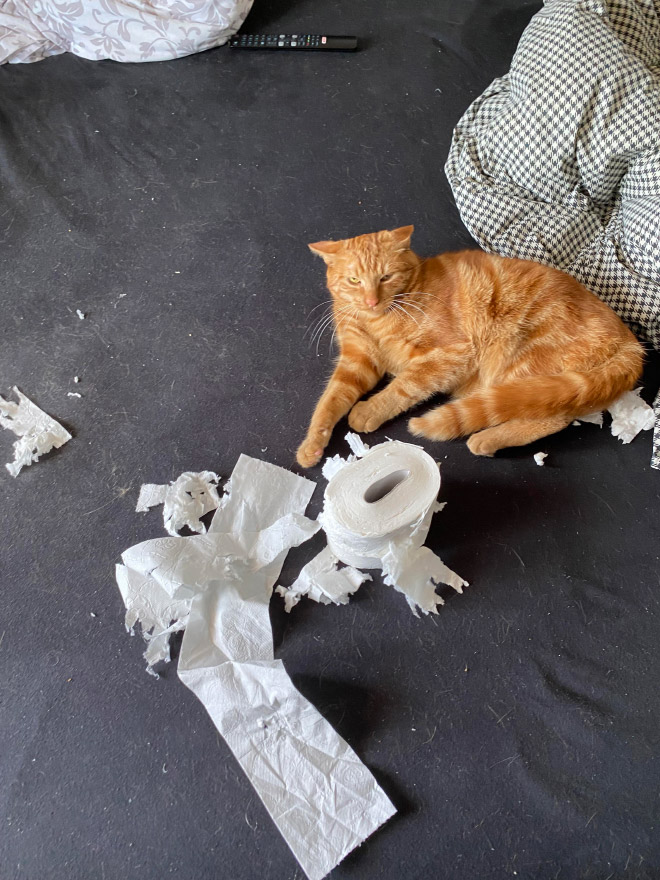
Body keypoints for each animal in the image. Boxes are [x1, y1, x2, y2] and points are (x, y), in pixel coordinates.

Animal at [296, 227, 644, 468]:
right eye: (354, 280)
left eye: (385, 277)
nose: (371, 300)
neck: (379, 319)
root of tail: (631, 341)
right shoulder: (357, 362)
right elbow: (330, 401)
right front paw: (312, 445)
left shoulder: (448, 355)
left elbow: (402, 388)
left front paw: (369, 410)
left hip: (519, 364)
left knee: (551, 418)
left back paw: (486, 439)